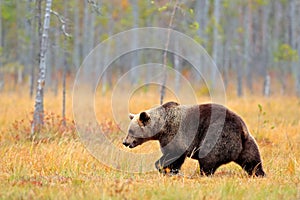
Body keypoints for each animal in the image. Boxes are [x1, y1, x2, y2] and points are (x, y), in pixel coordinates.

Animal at [123, 101, 266, 177]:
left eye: (131, 131)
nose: (125, 142)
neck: (162, 127)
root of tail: (241, 128)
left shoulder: (175, 134)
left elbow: (173, 155)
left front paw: (164, 168)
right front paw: (170, 171)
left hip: (218, 136)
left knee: (208, 158)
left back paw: (203, 174)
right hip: (247, 142)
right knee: (252, 159)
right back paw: (259, 173)